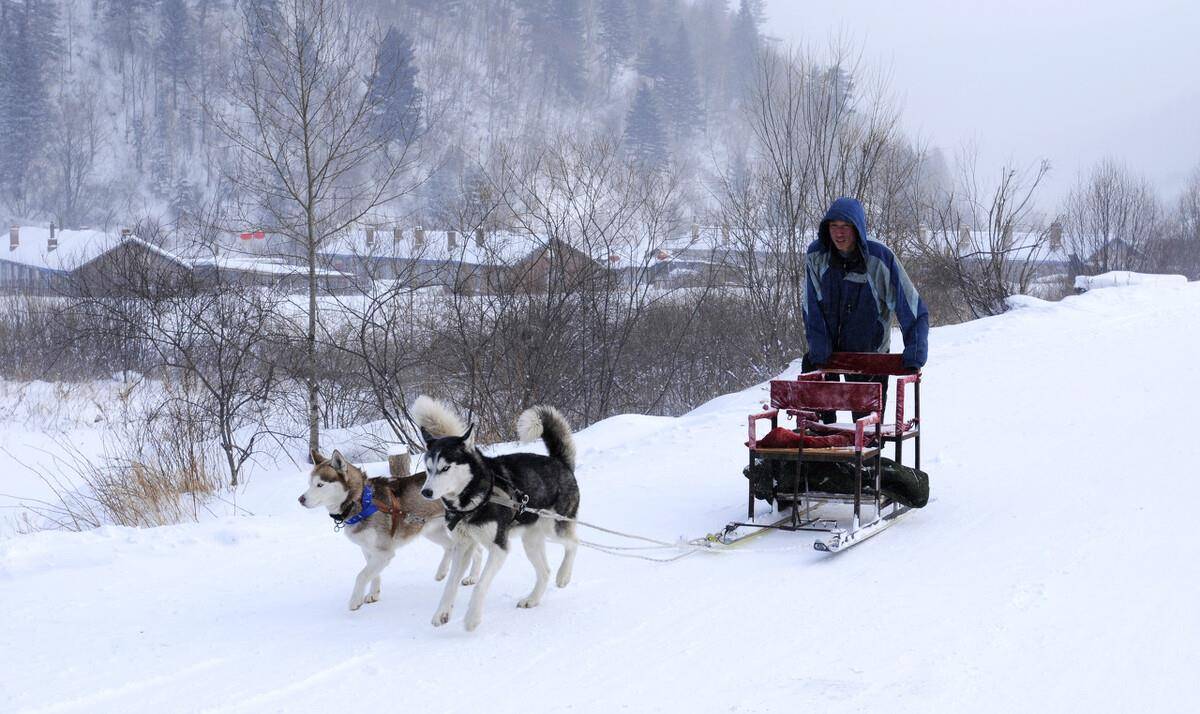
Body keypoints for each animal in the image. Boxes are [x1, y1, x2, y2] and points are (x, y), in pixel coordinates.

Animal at [297, 448, 480, 612]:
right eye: (309, 484)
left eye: (320, 485)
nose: (300, 499)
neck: (362, 500)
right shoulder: (369, 550)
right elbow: (372, 573)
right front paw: (373, 593)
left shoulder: (384, 552)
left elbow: (361, 575)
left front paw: (355, 600)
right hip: (431, 531)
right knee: (453, 547)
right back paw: (447, 572)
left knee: (474, 550)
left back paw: (470, 576)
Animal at [412, 393, 580, 633]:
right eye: (428, 469)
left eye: (445, 468)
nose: (426, 492)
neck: (471, 500)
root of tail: (559, 461)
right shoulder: (463, 547)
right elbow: (450, 584)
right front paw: (442, 612)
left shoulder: (499, 548)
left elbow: (480, 584)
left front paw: (472, 618)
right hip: (531, 541)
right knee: (545, 571)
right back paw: (532, 599)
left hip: (553, 527)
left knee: (574, 542)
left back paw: (564, 575)